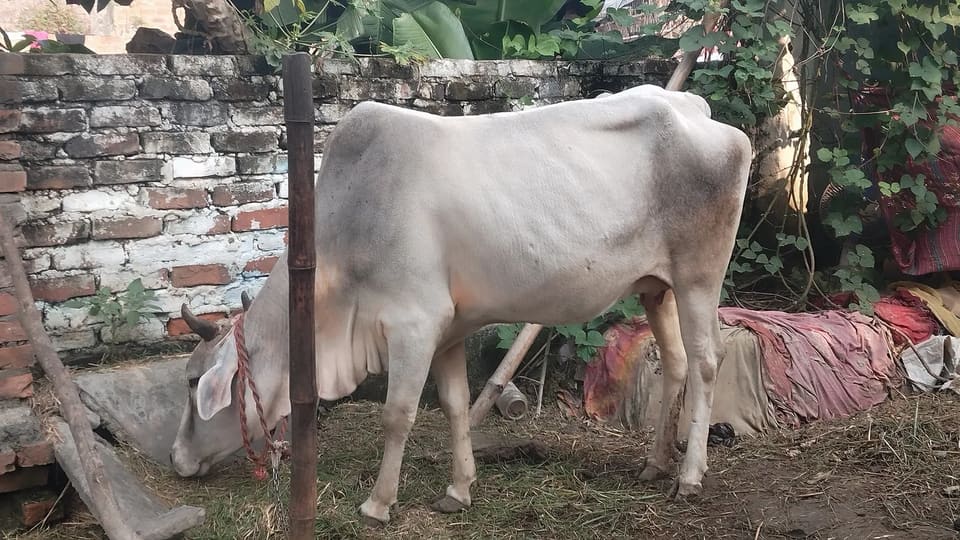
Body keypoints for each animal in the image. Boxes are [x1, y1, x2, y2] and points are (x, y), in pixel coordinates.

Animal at [170, 84, 752, 525]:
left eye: (195, 383)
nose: (177, 460)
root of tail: (695, 108)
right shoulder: (448, 329)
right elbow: (454, 405)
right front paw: (458, 490)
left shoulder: (413, 324)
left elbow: (398, 414)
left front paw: (378, 504)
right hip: (657, 287)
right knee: (675, 362)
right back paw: (656, 464)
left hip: (699, 277)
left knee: (706, 361)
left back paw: (690, 476)